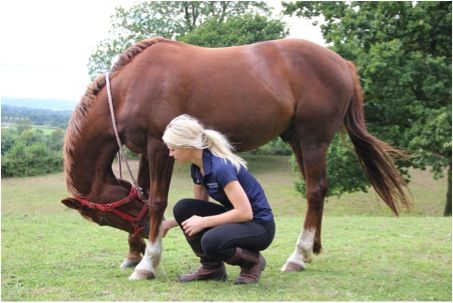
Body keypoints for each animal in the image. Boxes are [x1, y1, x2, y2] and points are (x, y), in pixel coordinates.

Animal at [61, 36, 410, 282]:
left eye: (102, 219)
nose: (145, 234)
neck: (131, 87)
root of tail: (342, 63)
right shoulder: (145, 150)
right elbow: (145, 194)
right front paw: (136, 254)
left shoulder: (159, 147)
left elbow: (157, 200)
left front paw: (146, 263)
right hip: (298, 139)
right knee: (320, 190)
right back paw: (312, 250)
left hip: (314, 138)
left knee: (314, 191)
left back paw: (297, 256)